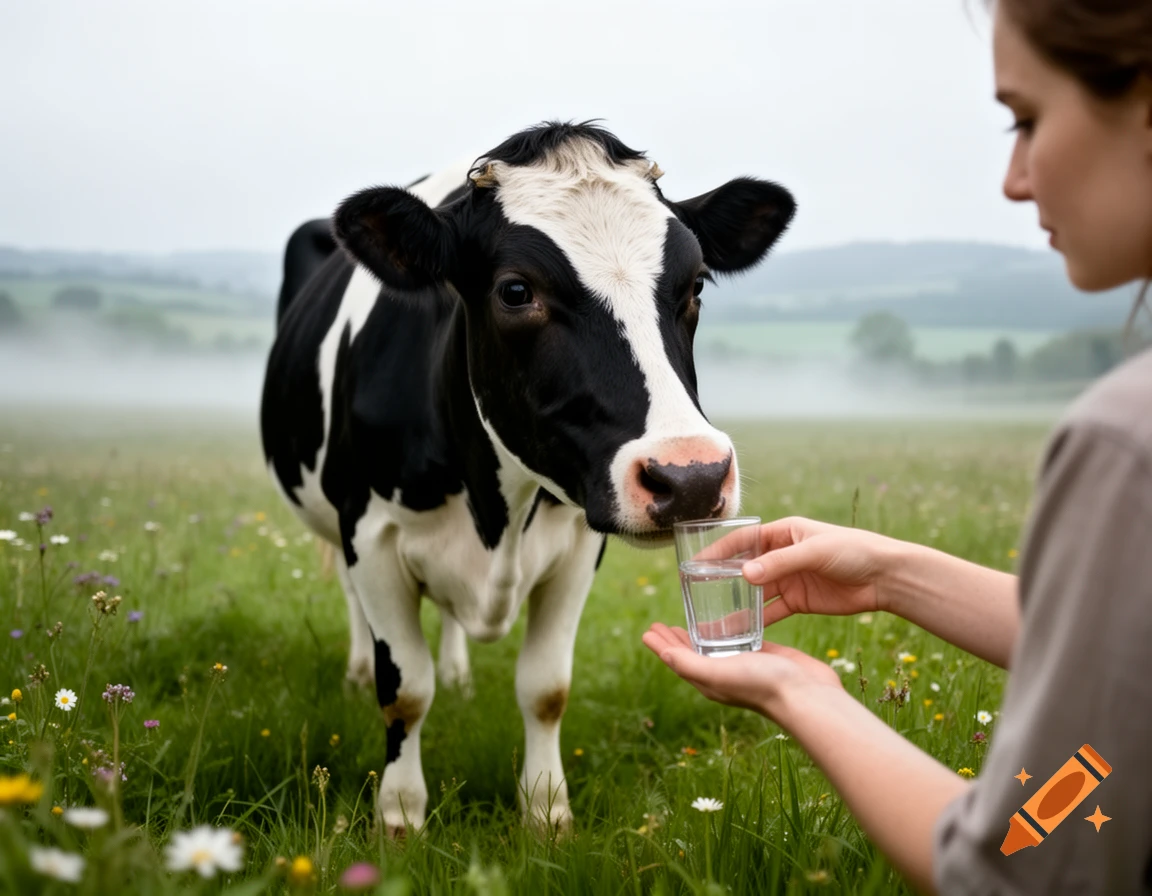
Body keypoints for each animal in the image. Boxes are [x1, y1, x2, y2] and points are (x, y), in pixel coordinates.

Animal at [260, 121, 795, 836]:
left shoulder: (577, 544)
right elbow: (405, 692)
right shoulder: (369, 534)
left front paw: (546, 812)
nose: (692, 476)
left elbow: (545, 688)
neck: (495, 512)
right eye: (516, 291)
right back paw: (356, 671)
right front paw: (400, 818)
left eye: (697, 286)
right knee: (354, 605)